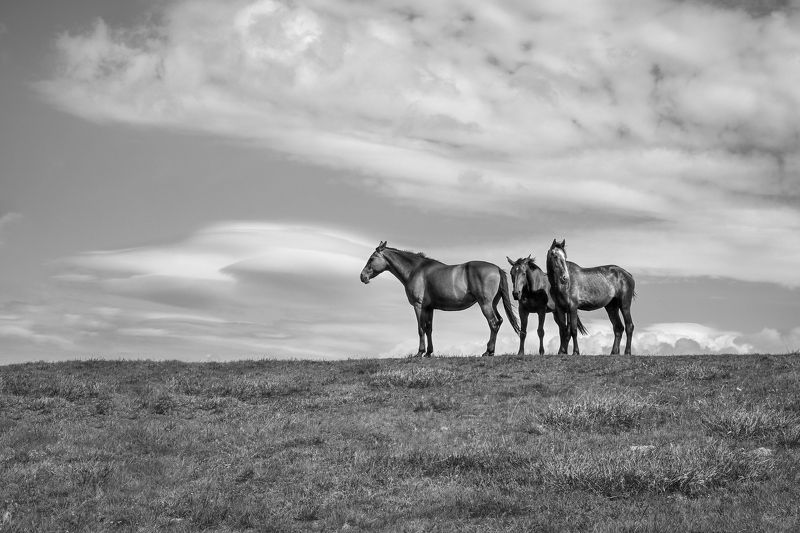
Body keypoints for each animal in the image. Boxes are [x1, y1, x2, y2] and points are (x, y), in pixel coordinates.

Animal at [360, 241, 520, 357]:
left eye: (372, 258)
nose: (362, 276)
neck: (415, 270)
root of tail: (497, 268)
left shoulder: (418, 306)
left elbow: (420, 328)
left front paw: (419, 352)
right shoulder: (429, 308)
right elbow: (429, 328)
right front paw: (429, 352)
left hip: (485, 304)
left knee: (493, 323)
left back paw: (488, 351)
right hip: (493, 304)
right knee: (499, 321)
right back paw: (490, 350)